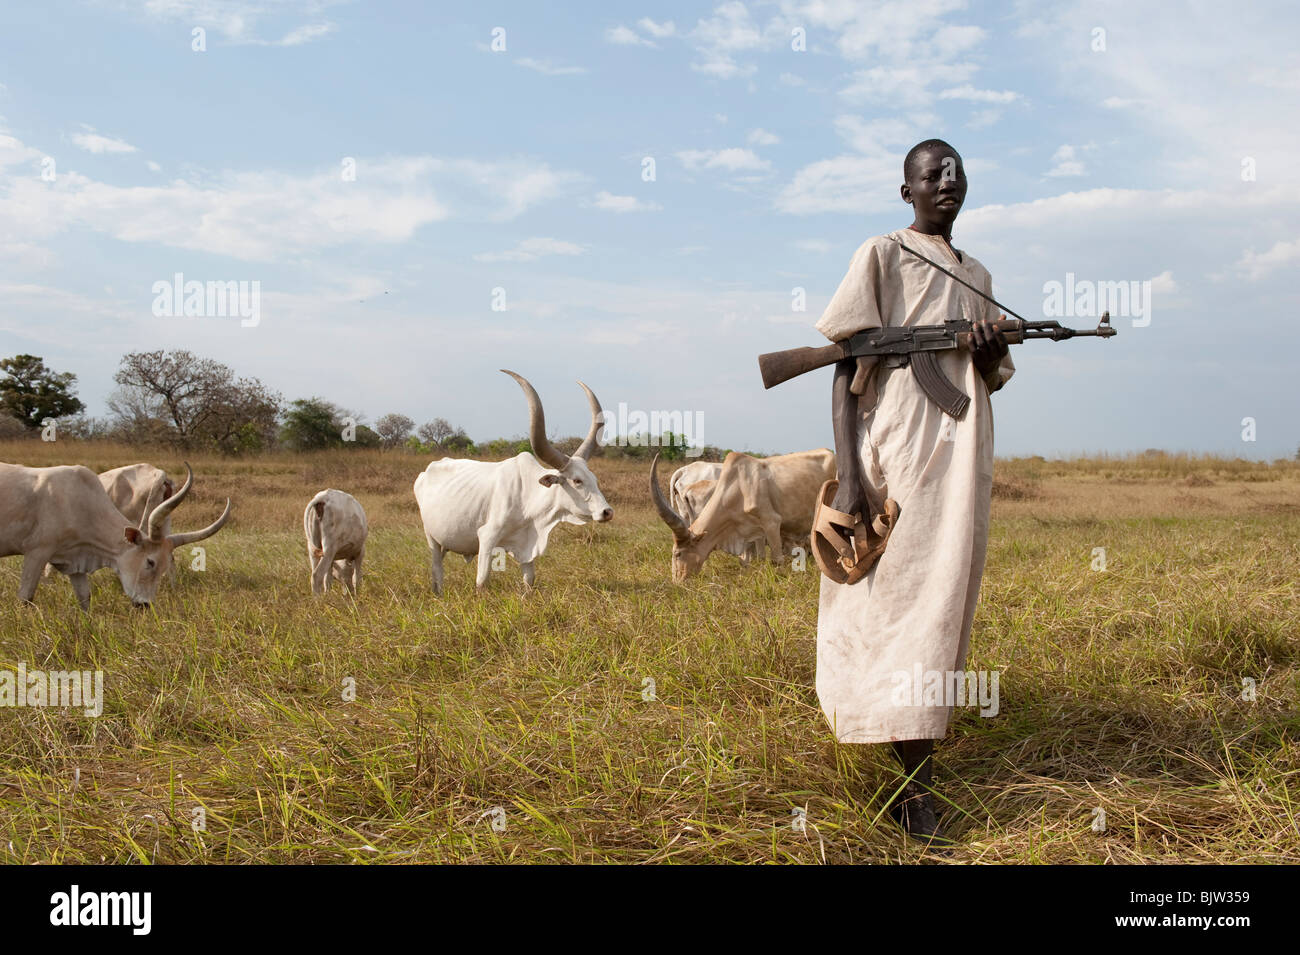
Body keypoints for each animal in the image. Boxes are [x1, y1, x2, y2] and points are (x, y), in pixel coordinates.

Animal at [0, 462, 231, 613]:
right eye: (150, 562)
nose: (145, 605)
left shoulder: (75, 561)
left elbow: (85, 599)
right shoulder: (37, 553)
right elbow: (25, 597)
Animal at [410, 369, 613, 595]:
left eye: (594, 479)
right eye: (577, 481)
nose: (607, 512)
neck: (528, 497)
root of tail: (426, 471)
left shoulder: (527, 545)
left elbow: (529, 579)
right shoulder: (487, 537)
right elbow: (482, 580)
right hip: (432, 537)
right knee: (437, 569)